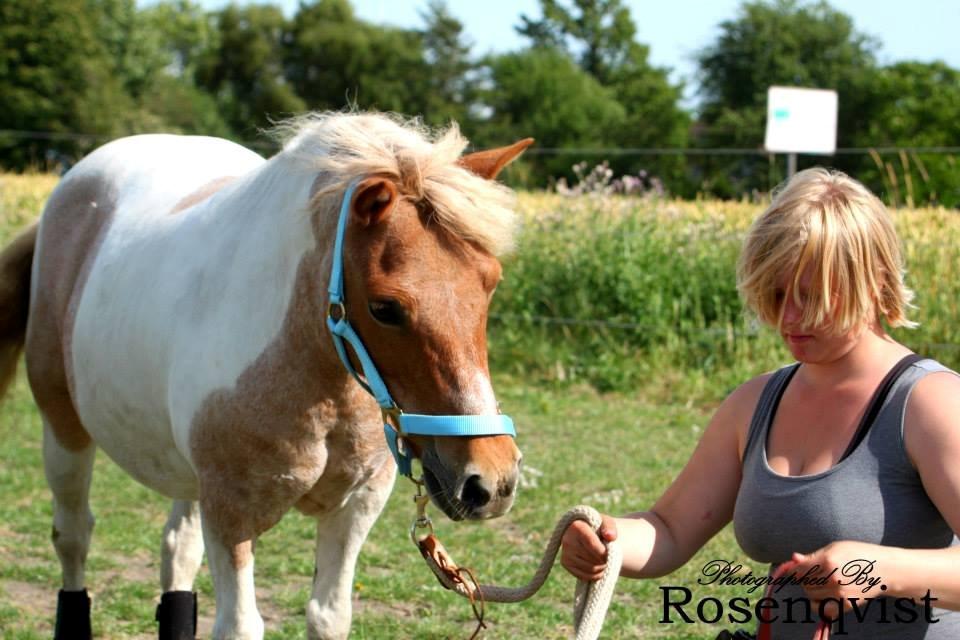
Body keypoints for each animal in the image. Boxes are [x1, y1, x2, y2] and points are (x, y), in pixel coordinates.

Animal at [0, 112, 532, 636]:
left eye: (490, 284)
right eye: (385, 308)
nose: (491, 481)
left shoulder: (354, 508)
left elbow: (328, 616)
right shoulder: (231, 515)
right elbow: (240, 624)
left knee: (176, 551)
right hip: (64, 430)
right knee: (73, 536)